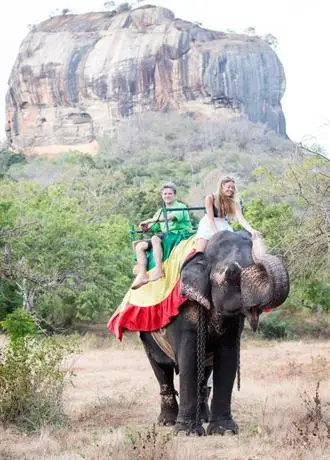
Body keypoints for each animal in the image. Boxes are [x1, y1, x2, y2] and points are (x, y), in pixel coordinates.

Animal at [139, 230, 288, 434]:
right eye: (231, 272)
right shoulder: (184, 314)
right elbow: (189, 358)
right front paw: (186, 432)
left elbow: (227, 357)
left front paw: (224, 431)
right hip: (147, 335)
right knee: (161, 367)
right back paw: (168, 422)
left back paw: (203, 418)